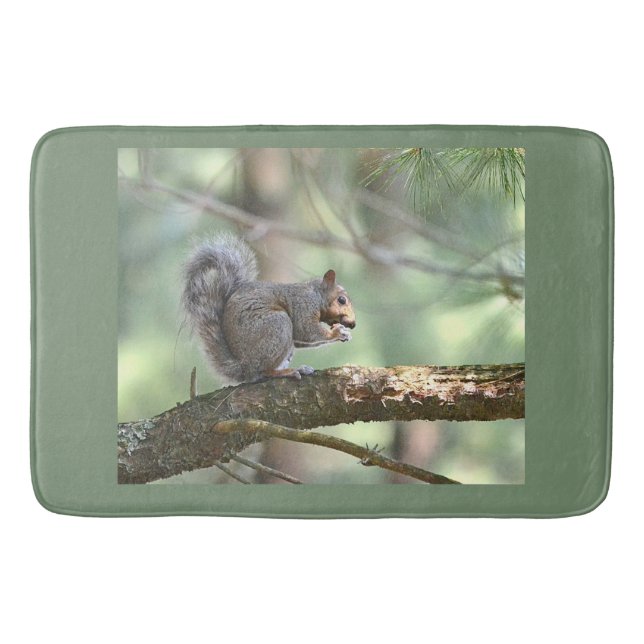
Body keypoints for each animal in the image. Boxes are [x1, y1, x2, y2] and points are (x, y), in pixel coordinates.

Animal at [182, 235, 356, 383]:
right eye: (341, 300)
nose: (353, 324)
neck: (316, 294)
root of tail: (244, 367)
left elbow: (301, 339)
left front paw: (344, 333)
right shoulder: (303, 305)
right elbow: (305, 330)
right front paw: (337, 332)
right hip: (277, 325)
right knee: (264, 371)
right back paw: (287, 372)